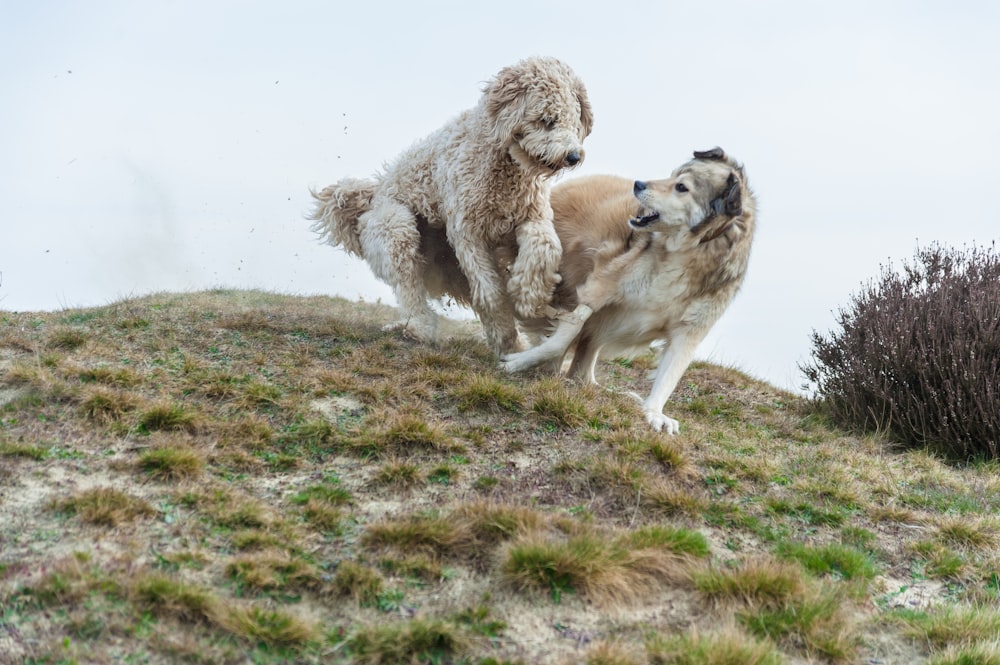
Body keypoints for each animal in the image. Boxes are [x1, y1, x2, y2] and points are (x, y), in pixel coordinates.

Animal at [308, 57, 592, 356]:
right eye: (547, 120)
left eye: (573, 121)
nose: (574, 156)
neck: (502, 165)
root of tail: (372, 196)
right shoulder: (468, 234)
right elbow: (491, 293)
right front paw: (510, 328)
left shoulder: (531, 218)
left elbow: (546, 247)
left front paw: (529, 295)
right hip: (395, 229)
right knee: (409, 286)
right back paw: (419, 328)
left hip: (448, 266)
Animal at [504, 148, 752, 434]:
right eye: (672, 175)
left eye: (682, 187)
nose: (638, 184)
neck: (687, 251)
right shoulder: (599, 287)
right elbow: (564, 336)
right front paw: (519, 361)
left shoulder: (690, 331)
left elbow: (670, 375)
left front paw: (654, 412)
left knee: (581, 369)